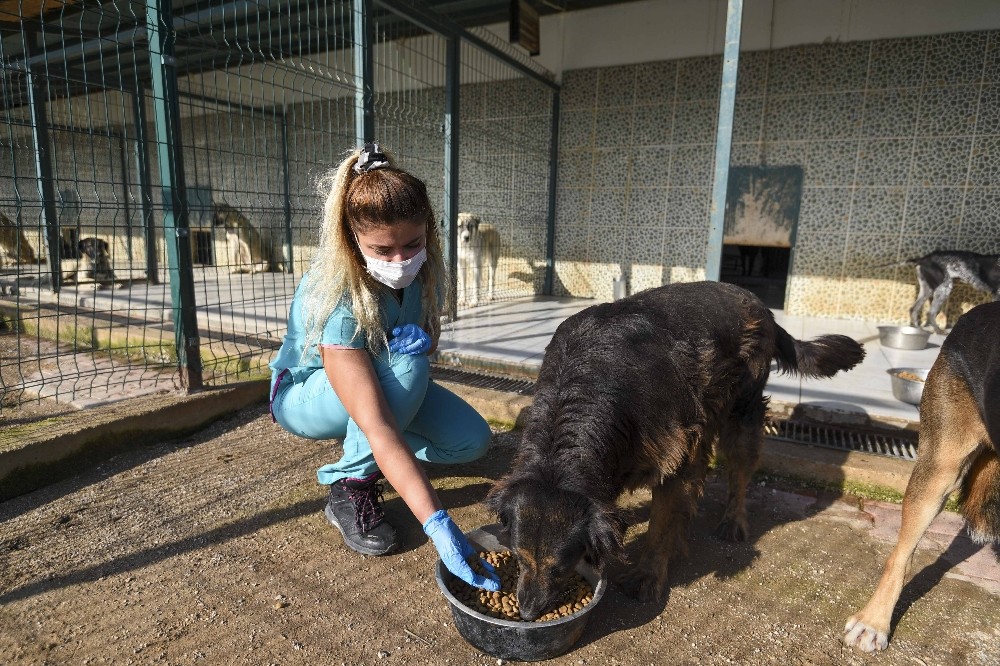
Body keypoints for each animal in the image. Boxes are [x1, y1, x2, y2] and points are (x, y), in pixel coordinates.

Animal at [486, 278, 868, 616]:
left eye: (560, 567)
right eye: (517, 557)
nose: (527, 612)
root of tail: (762, 307)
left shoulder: (672, 457)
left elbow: (660, 525)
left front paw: (647, 576)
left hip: (742, 410)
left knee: (739, 470)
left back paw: (733, 520)